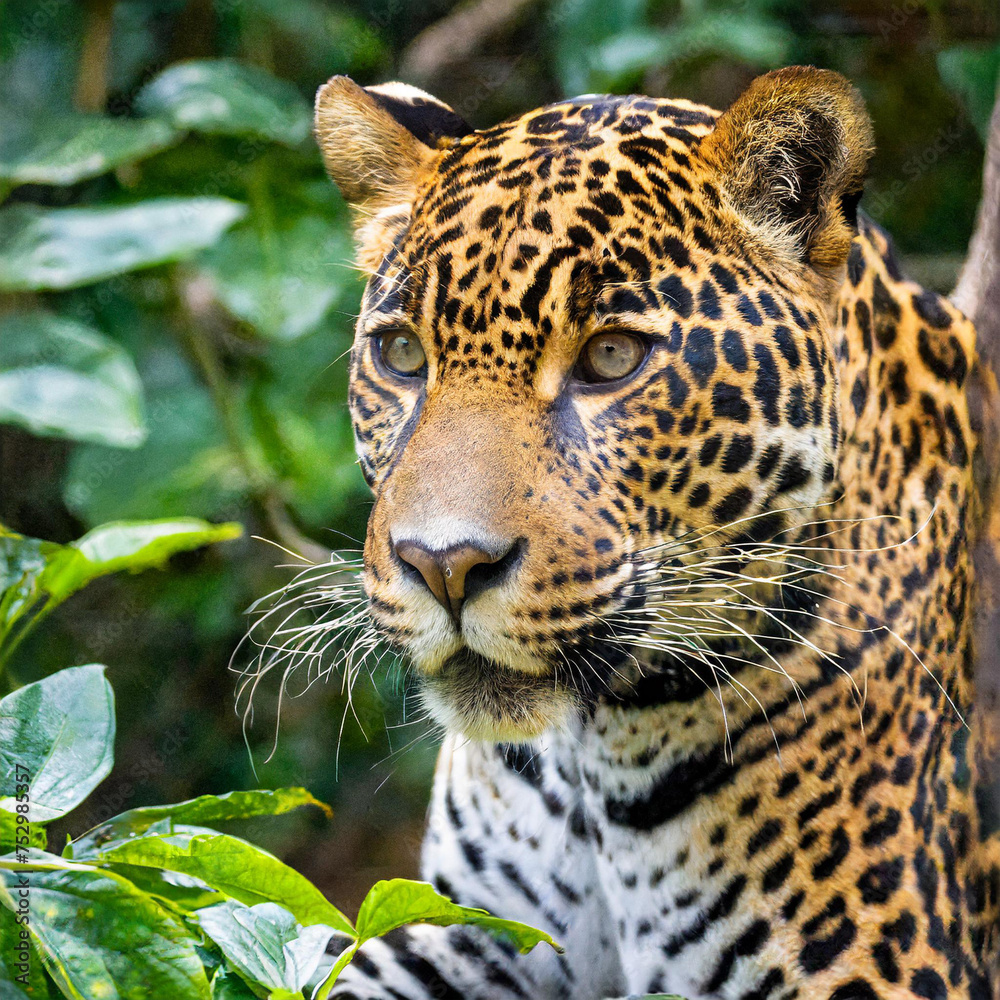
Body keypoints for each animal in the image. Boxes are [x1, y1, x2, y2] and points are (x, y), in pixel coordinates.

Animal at [308, 66, 1000, 999]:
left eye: (611, 359)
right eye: (403, 356)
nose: (444, 566)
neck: (589, 758)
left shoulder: (874, 965)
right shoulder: (464, 932)